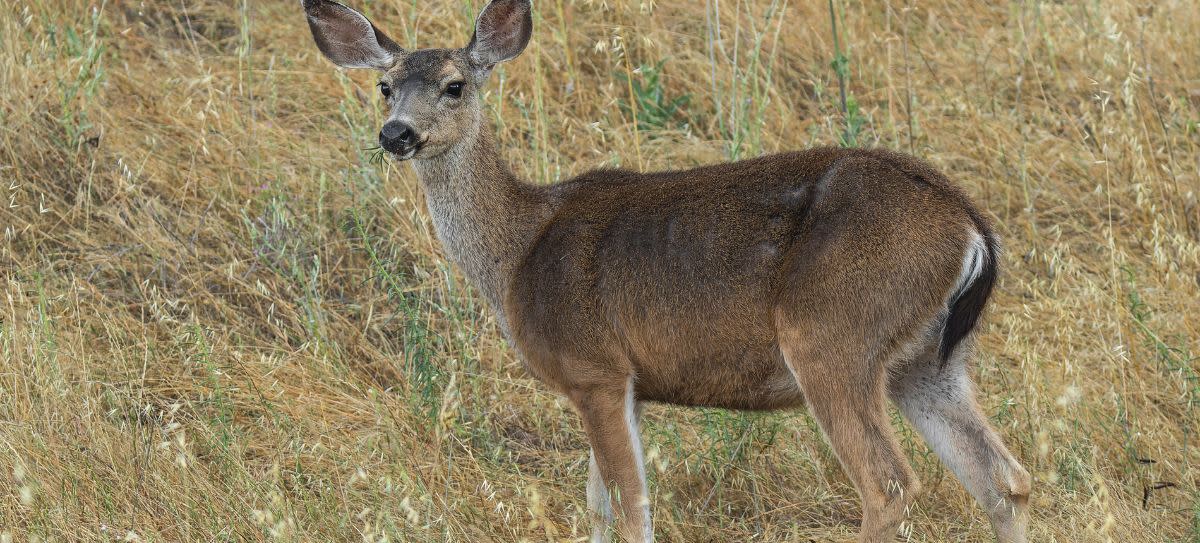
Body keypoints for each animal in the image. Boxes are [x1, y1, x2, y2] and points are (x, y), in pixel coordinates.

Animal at [300, 2, 1032, 540]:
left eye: (455, 86)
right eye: (384, 86)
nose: (396, 133)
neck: (518, 248)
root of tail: (969, 226)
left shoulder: (595, 367)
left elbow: (630, 512)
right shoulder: (623, 385)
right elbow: (599, 508)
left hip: (833, 333)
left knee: (889, 485)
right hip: (929, 359)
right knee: (1004, 478)